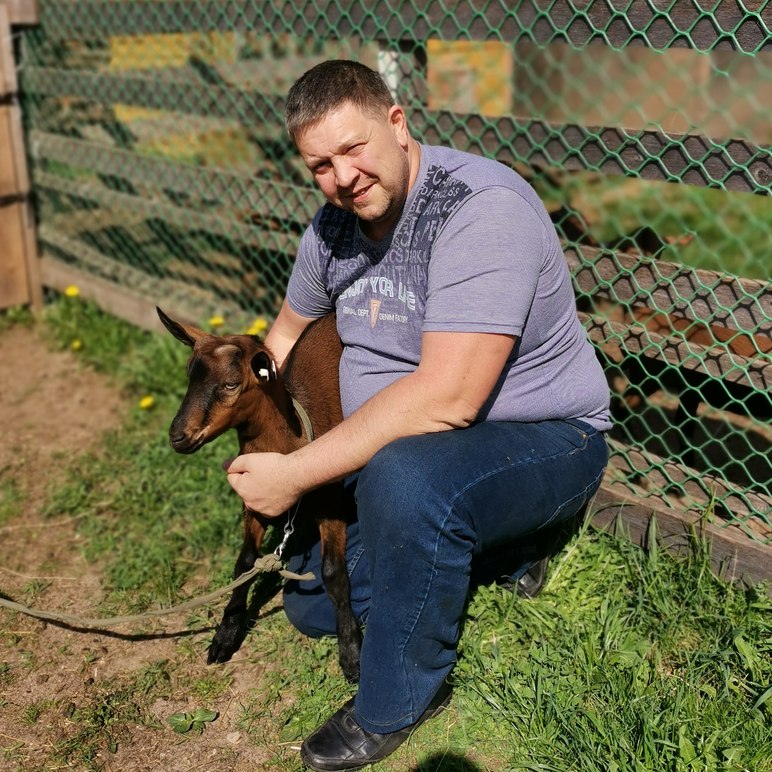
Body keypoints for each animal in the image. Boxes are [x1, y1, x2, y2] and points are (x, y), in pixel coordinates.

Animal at [156, 307, 361, 682]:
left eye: (231, 384)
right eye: (190, 377)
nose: (178, 436)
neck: (291, 446)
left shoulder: (331, 504)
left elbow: (332, 572)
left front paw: (351, 654)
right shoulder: (253, 503)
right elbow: (244, 563)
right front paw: (225, 636)